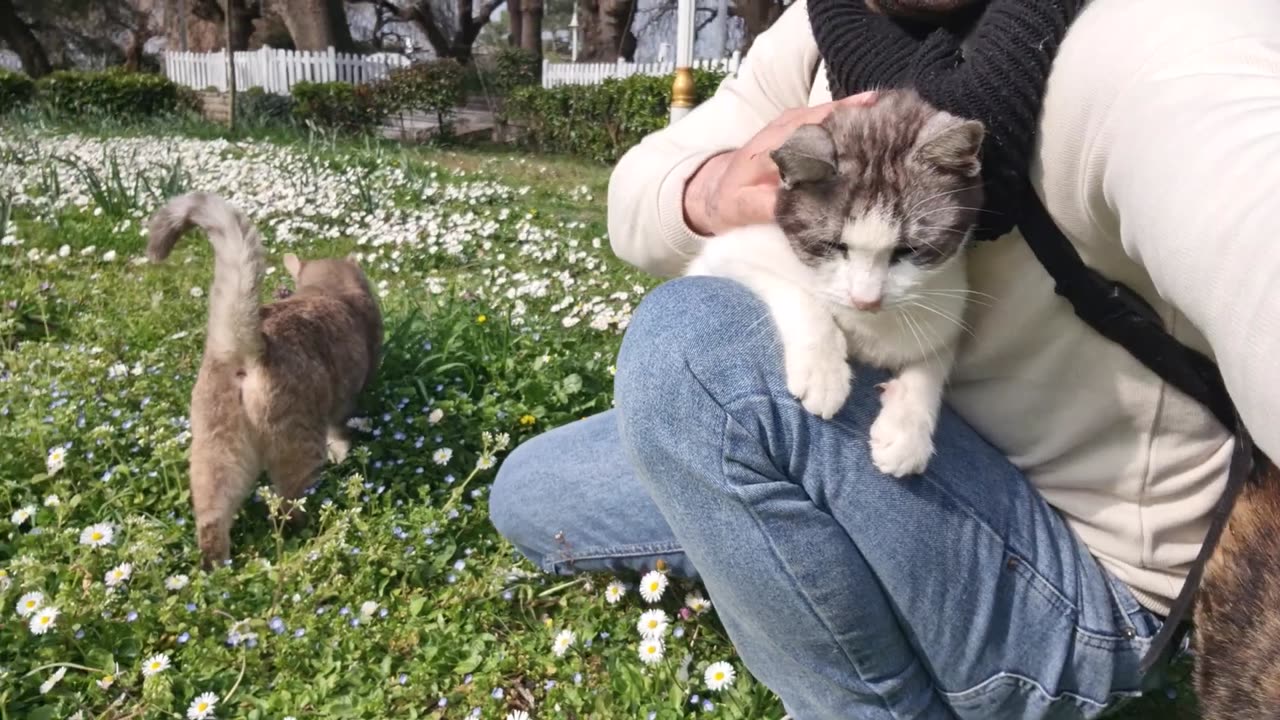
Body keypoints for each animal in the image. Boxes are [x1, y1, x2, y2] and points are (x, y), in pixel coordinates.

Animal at [146, 190, 381, 566]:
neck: (325, 290)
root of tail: (250, 346)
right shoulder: (345, 402)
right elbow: (340, 431)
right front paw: (343, 451)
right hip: (297, 449)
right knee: (285, 507)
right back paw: (309, 532)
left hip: (217, 455)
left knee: (211, 523)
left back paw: (218, 568)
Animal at [686, 87, 983, 474]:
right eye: (833, 245)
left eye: (908, 250)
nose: (866, 300)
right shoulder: (725, 252)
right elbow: (798, 293)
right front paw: (823, 370)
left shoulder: (949, 297)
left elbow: (935, 354)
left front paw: (908, 425)